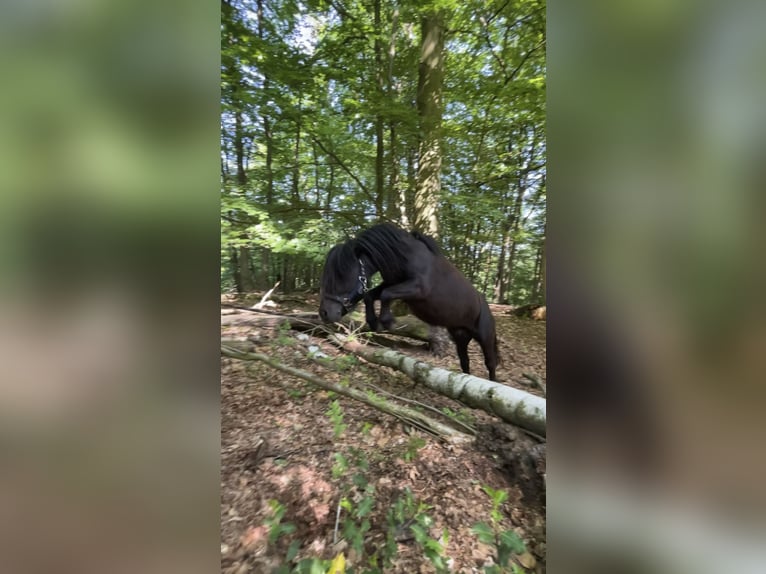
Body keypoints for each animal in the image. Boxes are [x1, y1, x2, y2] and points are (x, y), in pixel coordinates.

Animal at [320, 225, 500, 382]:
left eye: (340, 276)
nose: (324, 313)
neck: (408, 257)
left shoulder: (418, 289)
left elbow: (386, 295)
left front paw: (386, 321)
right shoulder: (392, 283)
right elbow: (370, 295)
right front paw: (373, 322)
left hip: (485, 337)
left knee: (490, 363)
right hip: (460, 338)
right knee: (465, 361)